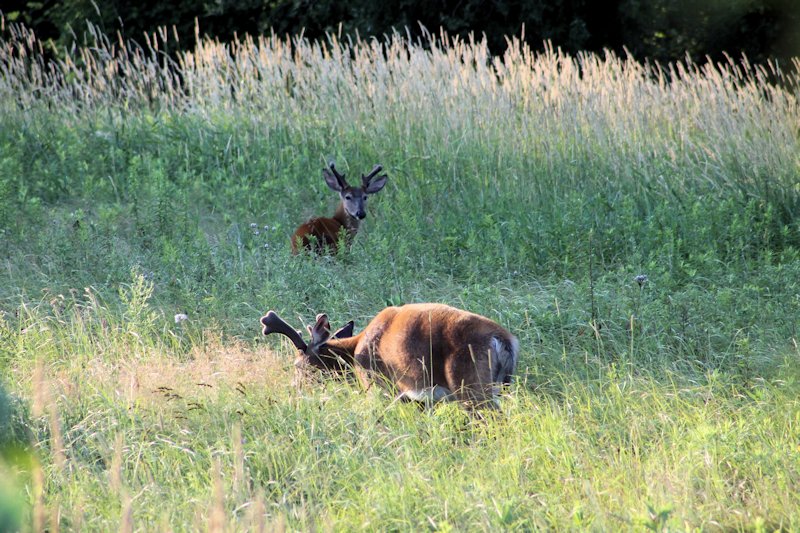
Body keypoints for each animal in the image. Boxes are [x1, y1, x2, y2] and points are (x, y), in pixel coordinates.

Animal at [258, 302, 520, 406]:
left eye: (298, 365)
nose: (294, 388)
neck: (354, 350)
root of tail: (504, 340)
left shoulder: (378, 384)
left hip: (469, 382)